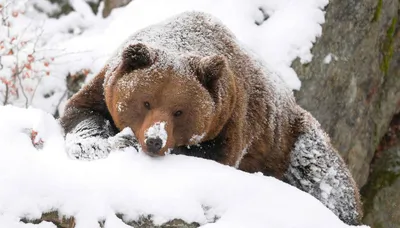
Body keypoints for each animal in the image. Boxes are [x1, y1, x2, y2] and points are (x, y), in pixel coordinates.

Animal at [59, 10, 362, 224]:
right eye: (146, 102)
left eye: (179, 111)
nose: (155, 140)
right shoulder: (104, 85)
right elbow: (82, 113)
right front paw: (92, 144)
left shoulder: (231, 119)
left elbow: (211, 155)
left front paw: (125, 142)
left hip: (290, 141)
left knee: (326, 179)